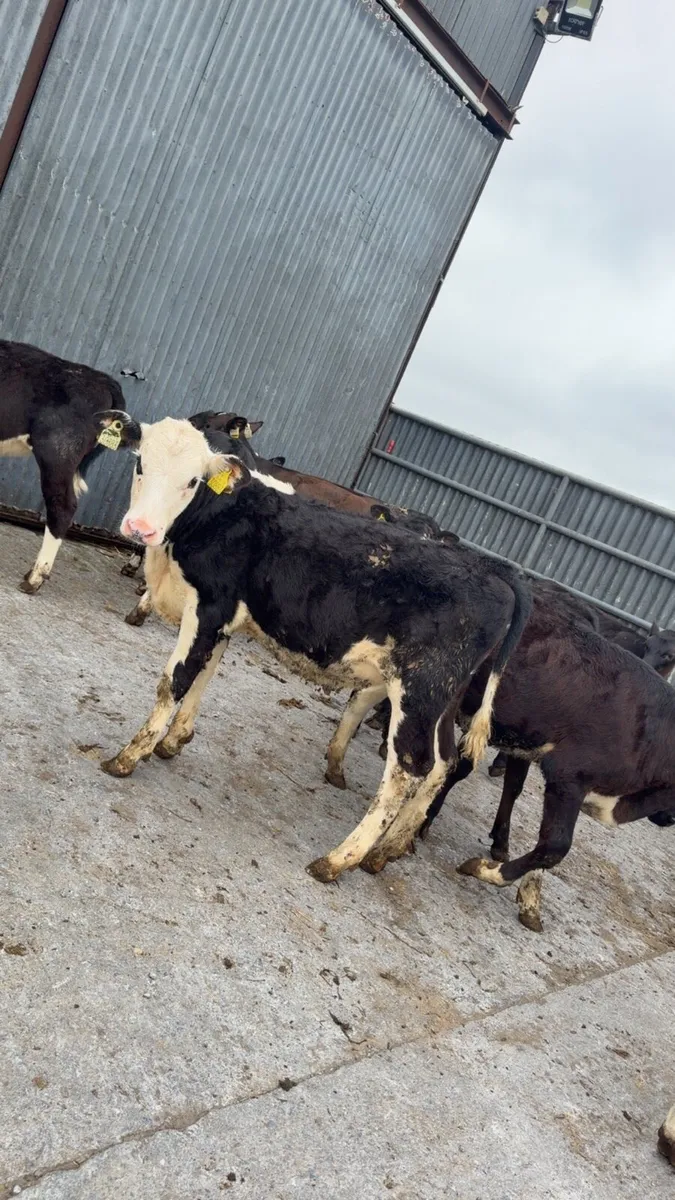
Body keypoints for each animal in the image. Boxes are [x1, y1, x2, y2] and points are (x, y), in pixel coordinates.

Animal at [93, 408, 531, 882]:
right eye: (140, 463)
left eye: (192, 481)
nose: (141, 528)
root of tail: (492, 571)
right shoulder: (225, 618)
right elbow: (203, 676)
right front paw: (173, 741)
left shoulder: (209, 606)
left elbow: (173, 682)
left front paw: (130, 755)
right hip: (444, 697)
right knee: (444, 763)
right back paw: (387, 849)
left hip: (421, 687)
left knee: (410, 768)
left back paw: (341, 857)